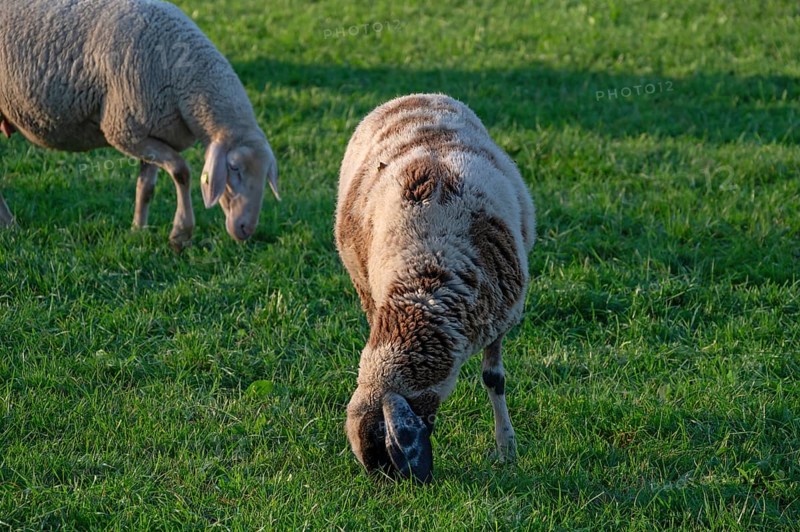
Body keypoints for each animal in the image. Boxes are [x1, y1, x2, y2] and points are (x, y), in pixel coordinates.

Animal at [0, 0, 279, 248]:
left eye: (266, 174)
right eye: (234, 168)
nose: (246, 229)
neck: (183, 79)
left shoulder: (151, 132)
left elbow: (146, 187)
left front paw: (138, 230)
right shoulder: (123, 131)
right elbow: (181, 171)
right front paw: (181, 234)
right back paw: (11, 225)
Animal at [335, 93, 536, 483]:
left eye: (383, 453)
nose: (402, 487)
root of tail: (414, 96)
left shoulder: (498, 320)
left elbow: (494, 379)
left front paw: (507, 448)